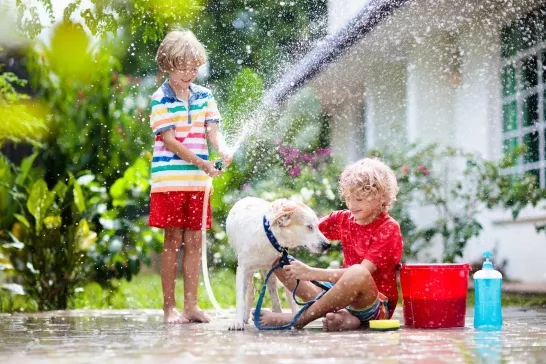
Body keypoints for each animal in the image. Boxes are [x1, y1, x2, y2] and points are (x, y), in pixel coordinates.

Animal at [224, 198, 328, 332]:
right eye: (309, 227)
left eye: (317, 226)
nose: (327, 245)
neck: (269, 236)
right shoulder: (242, 269)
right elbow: (240, 297)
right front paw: (237, 322)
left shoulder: (285, 265)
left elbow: (290, 298)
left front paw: (293, 320)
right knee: (251, 291)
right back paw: (245, 317)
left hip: (269, 270)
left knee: (274, 296)